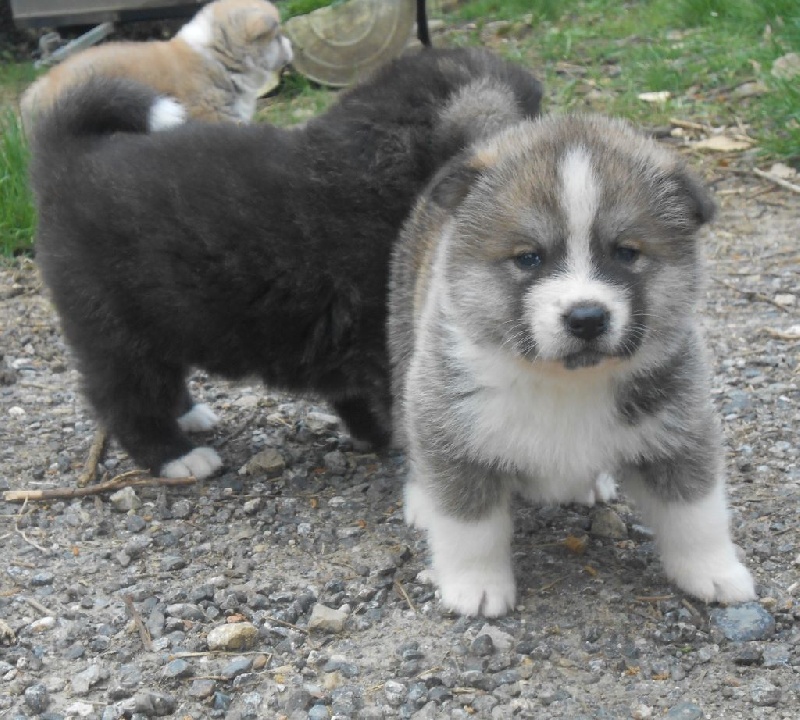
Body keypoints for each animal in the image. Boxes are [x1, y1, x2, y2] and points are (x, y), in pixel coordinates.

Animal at [29, 47, 543, 480]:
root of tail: (69, 157)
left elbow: (356, 398)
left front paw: (372, 436)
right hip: (115, 325)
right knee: (127, 398)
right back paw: (175, 456)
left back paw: (190, 416)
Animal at [388, 114, 756, 616]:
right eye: (528, 257)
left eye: (626, 252)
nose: (586, 318)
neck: (566, 382)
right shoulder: (453, 426)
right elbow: (471, 525)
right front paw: (475, 585)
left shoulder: (679, 429)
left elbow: (696, 511)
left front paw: (714, 572)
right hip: (407, 343)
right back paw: (423, 499)